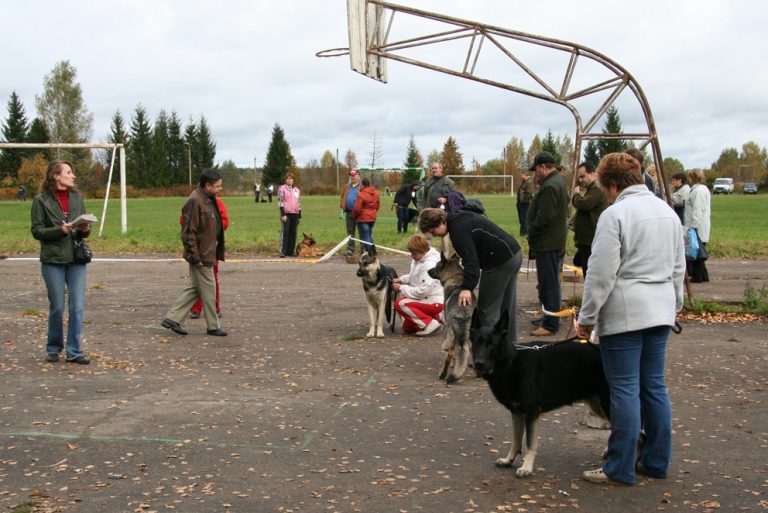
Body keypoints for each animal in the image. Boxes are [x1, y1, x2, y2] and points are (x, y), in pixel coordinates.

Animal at [426, 252, 474, 384]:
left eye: (437, 265)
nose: (427, 271)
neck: (455, 276)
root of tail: (463, 312)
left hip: (448, 334)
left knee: (449, 355)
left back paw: (443, 374)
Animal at [468, 308, 612, 476]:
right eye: (476, 343)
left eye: (492, 345)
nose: (478, 364)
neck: (512, 362)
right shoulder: (517, 413)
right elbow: (516, 440)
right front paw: (509, 460)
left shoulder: (531, 413)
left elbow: (530, 443)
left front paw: (527, 467)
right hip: (597, 404)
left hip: (607, 403)